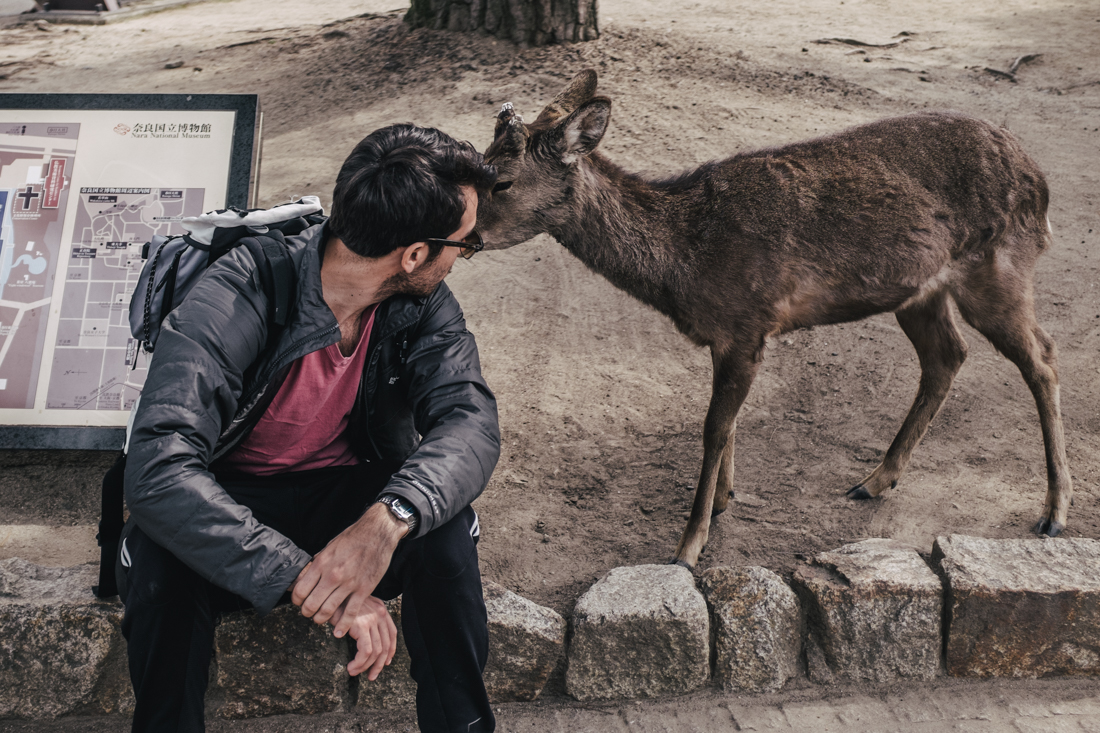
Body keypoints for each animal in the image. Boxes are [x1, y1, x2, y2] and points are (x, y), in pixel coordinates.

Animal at [475, 68, 1073, 567]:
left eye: (501, 181)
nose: (467, 236)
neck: (685, 262)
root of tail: (1041, 185)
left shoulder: (747, 324)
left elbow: (713, 427)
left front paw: (687, 547)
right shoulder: (728, 336)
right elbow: (729, 423)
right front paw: (724, 499)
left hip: (998, 268)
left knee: (1042, 358)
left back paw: (1054, 512)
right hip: (920, 291)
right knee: (948, 355)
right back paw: (875, 480)